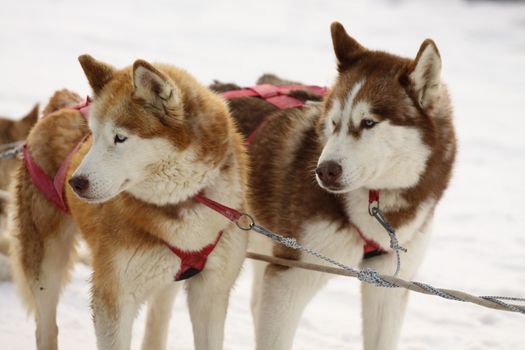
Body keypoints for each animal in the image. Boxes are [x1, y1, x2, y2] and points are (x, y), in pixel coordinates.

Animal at [10, 56, 248, 348]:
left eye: (120, 137)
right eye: (93, 135)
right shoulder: (113, 298)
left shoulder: (211, 293)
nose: (75, 183)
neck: (183, 203)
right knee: (46, 327)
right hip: (46, 264)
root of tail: (61, 104)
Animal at [219, 22, 452, 350]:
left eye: (368, 122)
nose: (324, 171)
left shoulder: (389, 285)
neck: (375, 204)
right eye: (333, 122)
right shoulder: (290, 276)